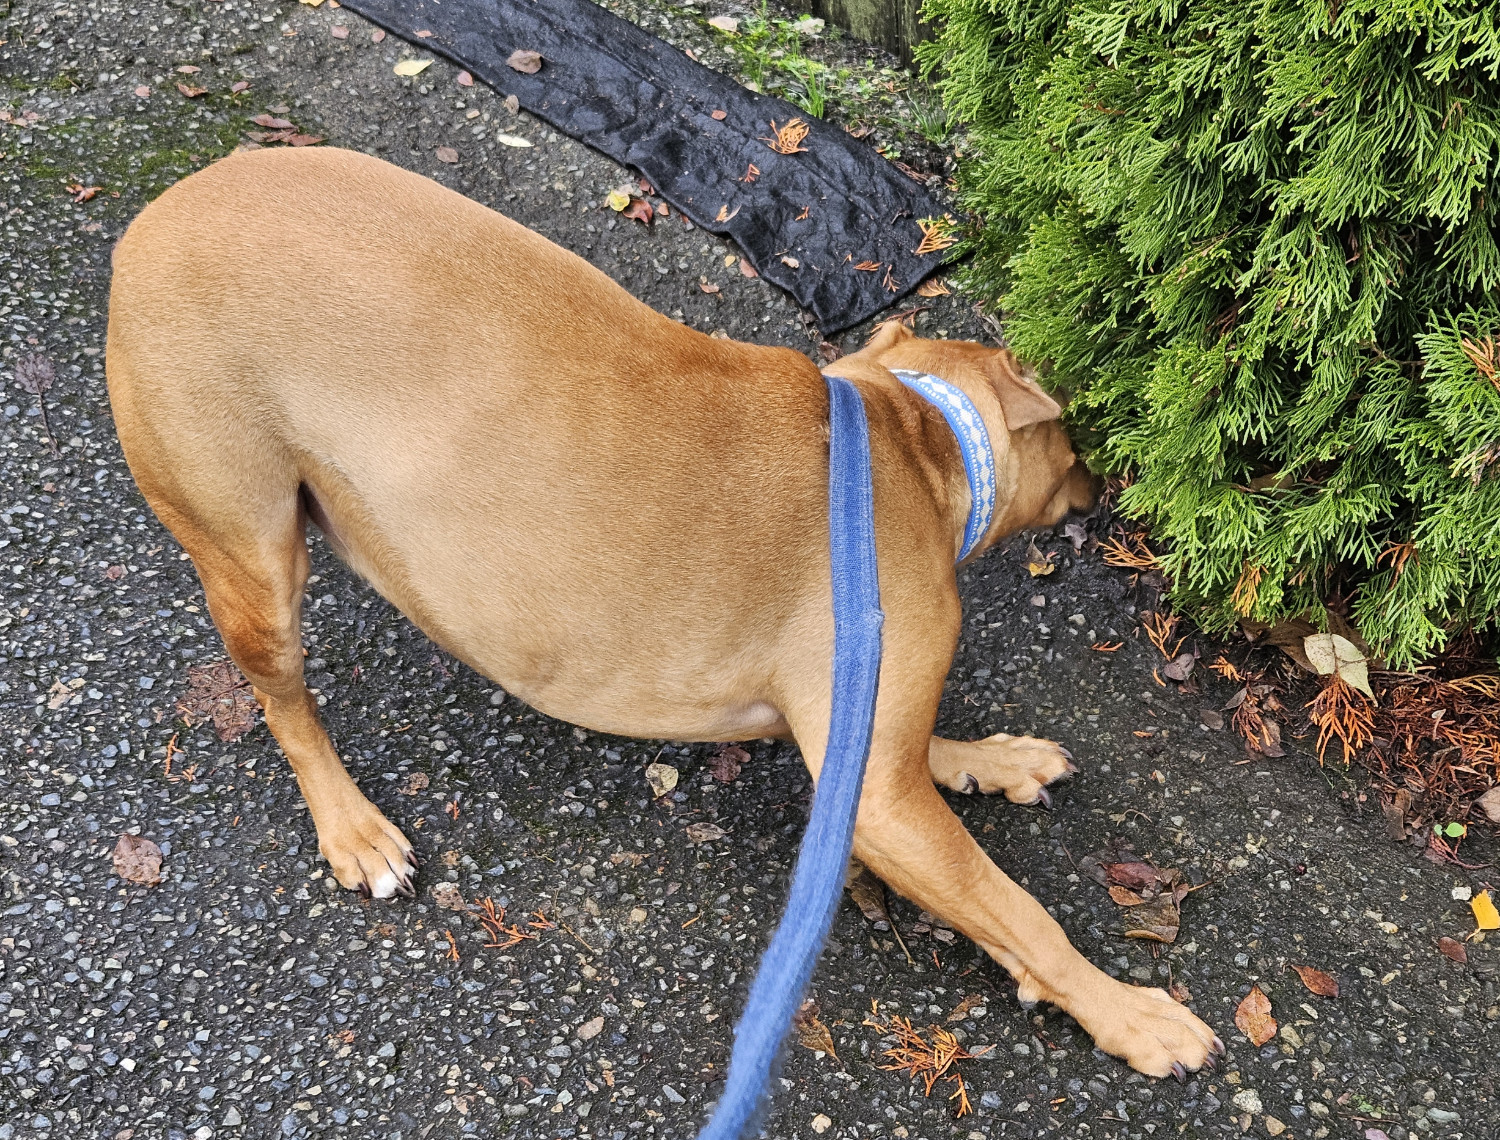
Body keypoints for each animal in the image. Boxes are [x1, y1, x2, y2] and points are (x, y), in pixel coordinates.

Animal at [111, 144, 1218, 1080]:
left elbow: (924, 751)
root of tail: (152, 220)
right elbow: (1021, 914)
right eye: (1078, 439)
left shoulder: (866, 739)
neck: (912, 436)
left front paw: (993, 758)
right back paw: (352, 830)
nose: (1110, 487)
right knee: (286, 706)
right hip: (252, 559)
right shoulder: (882, 801)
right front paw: (1130, 1015)